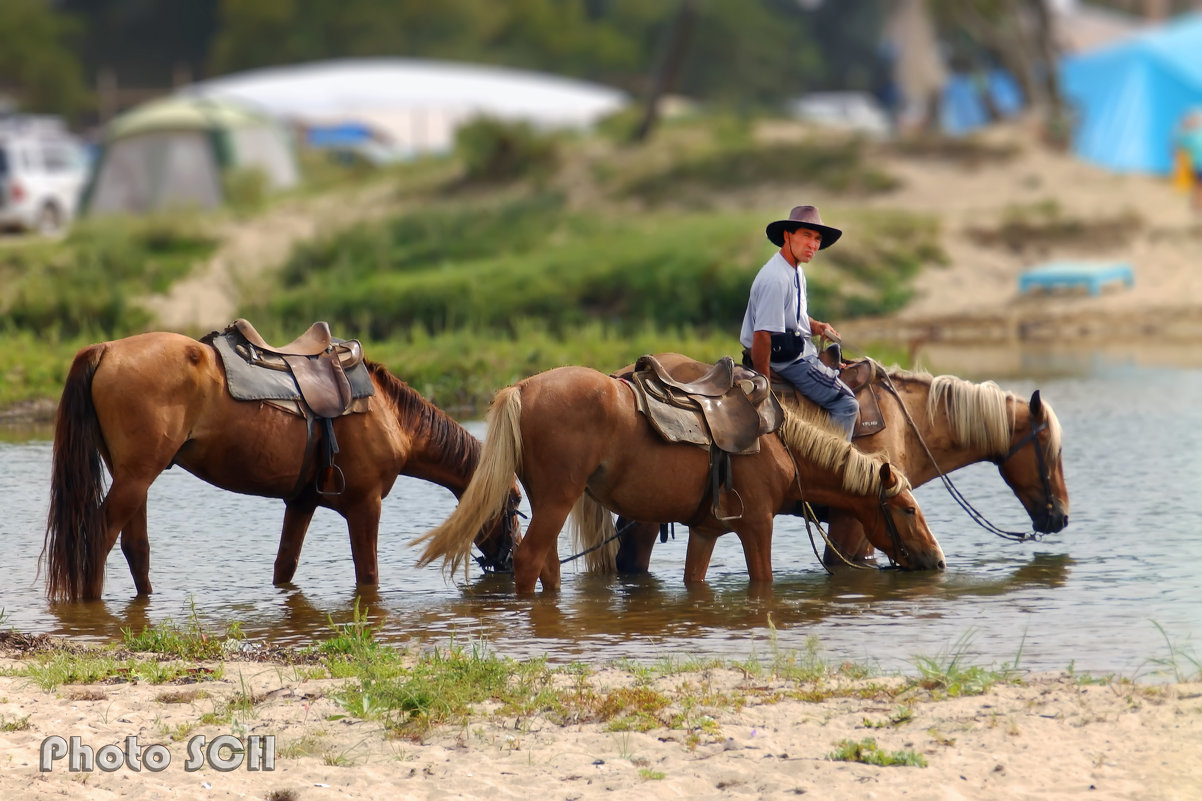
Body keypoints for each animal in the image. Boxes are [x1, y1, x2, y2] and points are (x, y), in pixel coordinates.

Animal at [39, 329, 519, 598]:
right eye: (514, 503)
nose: (506, 563)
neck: (392, 417)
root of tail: (106, 349)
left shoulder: (301, 503)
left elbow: (284, 567)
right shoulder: (366, 506)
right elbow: (368, 575)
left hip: (135, 478)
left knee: (135, 548)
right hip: (135, 478)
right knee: (98, 537)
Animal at [415, 363, 947, 591]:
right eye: (907, 509)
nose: (937, 560)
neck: (782, 447)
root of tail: (523, 388)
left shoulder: (706, 531)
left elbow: (695, 578)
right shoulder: (758, 525)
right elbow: (763, 579)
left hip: (552, 503)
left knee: (546, 566)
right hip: (557, 498)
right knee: (527, 563)